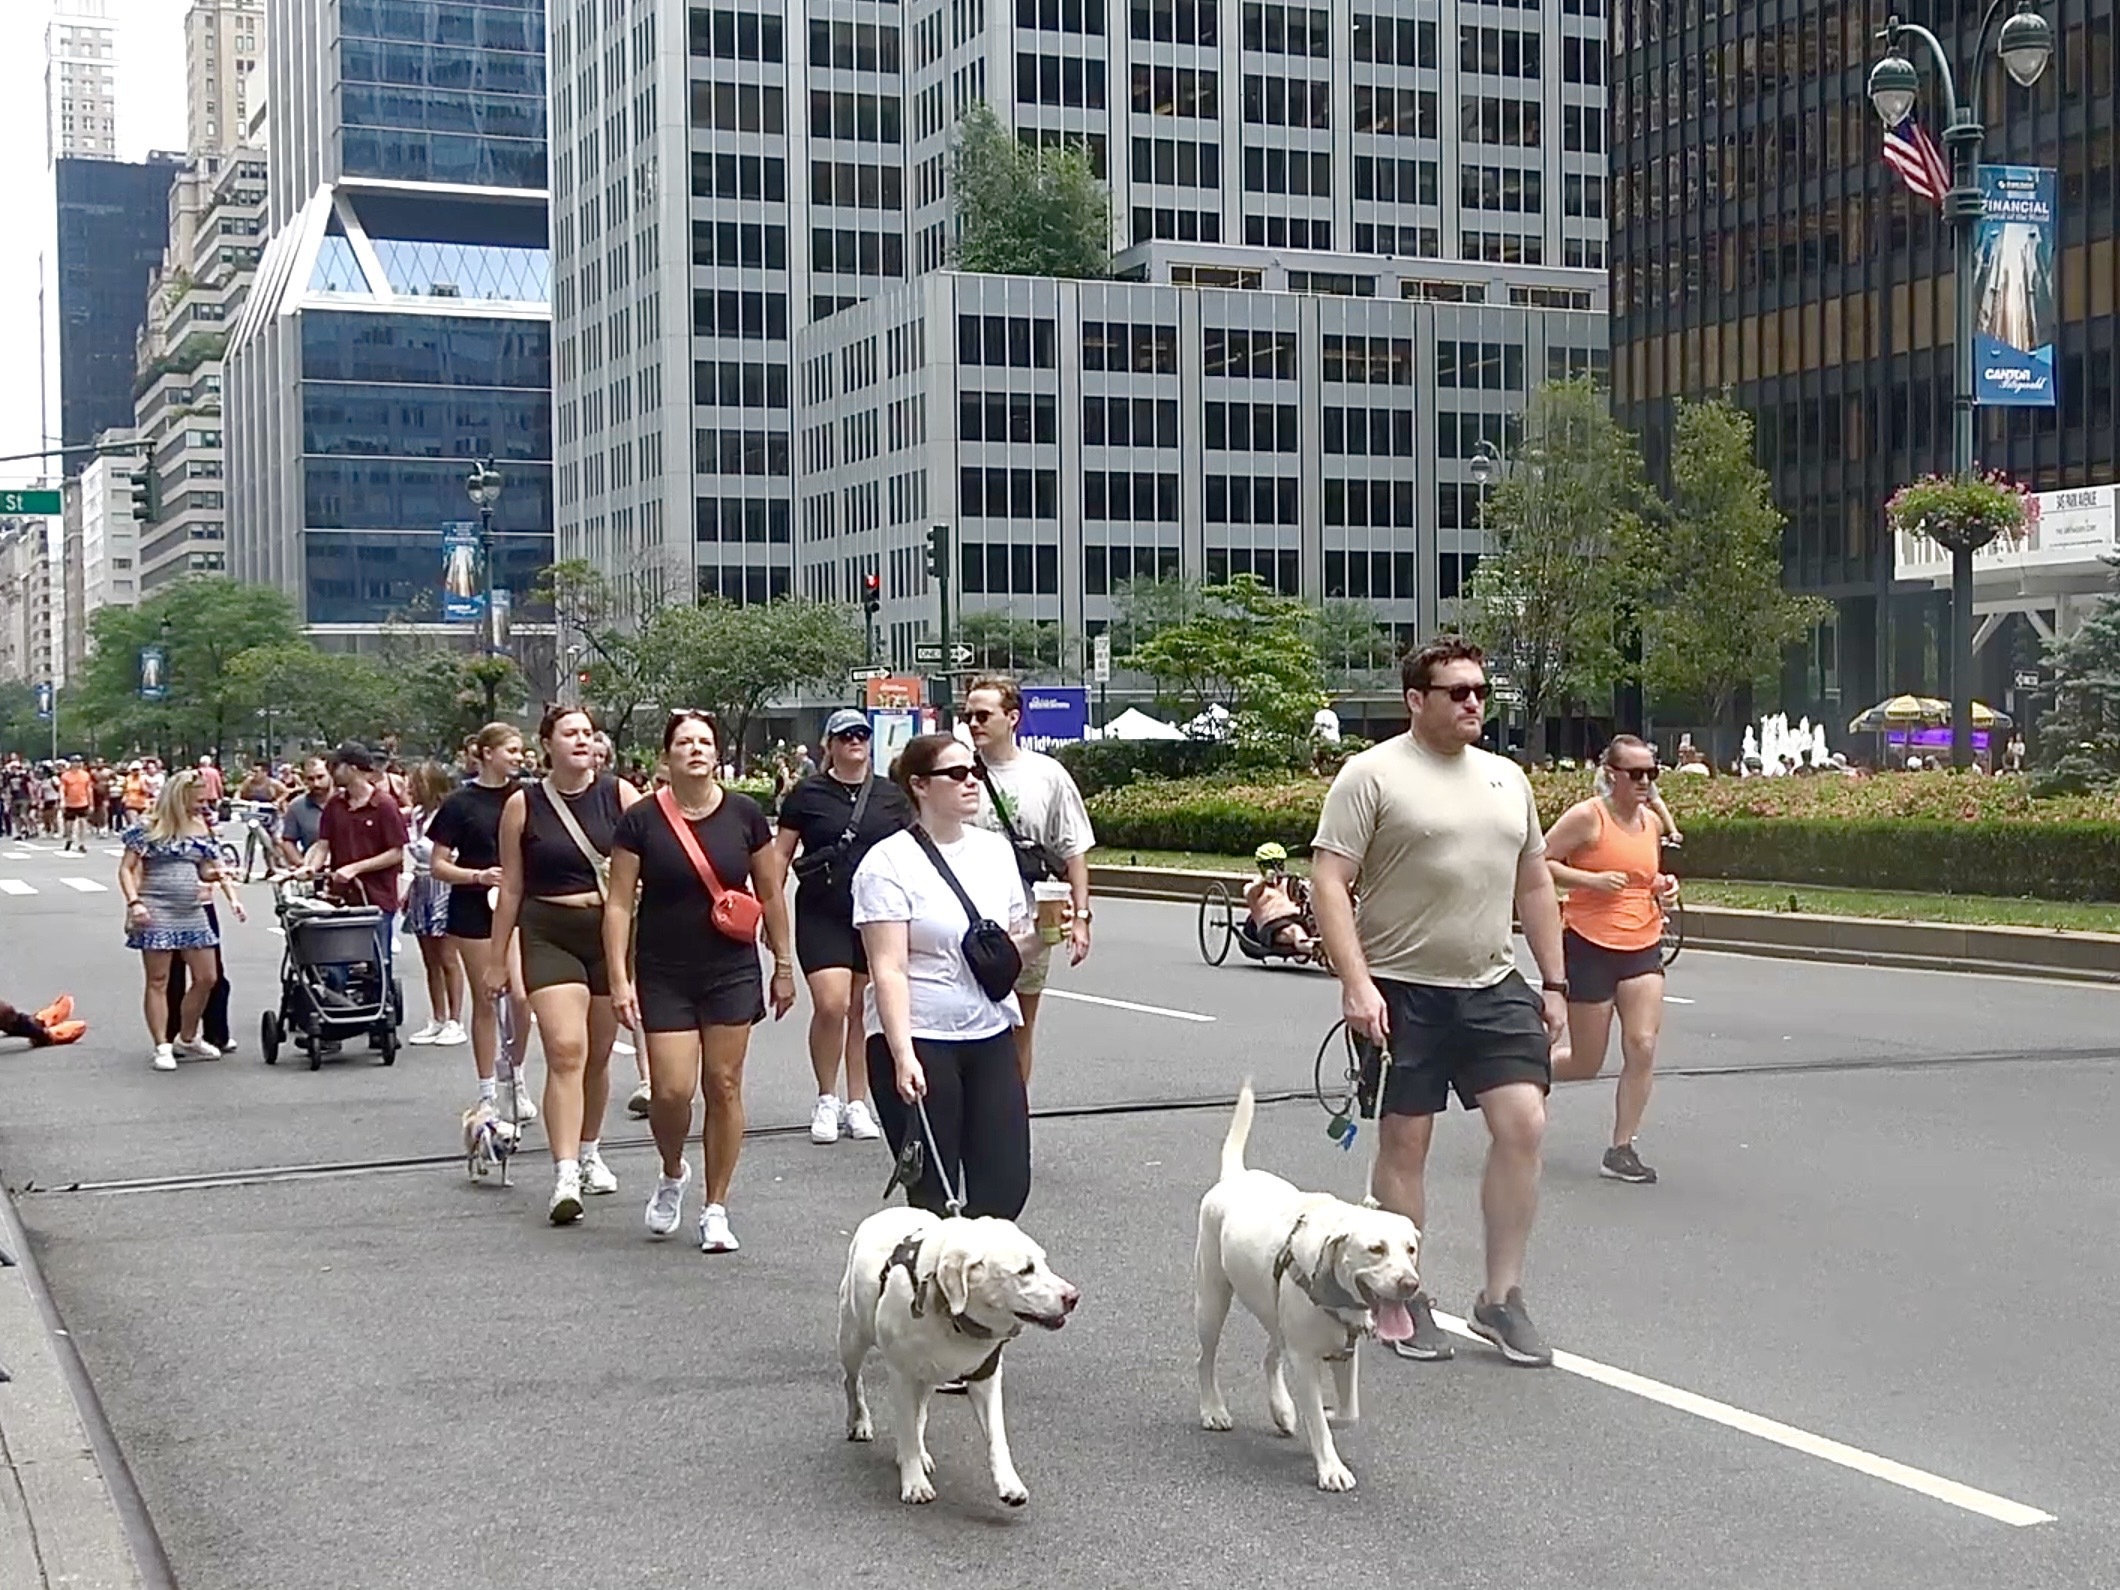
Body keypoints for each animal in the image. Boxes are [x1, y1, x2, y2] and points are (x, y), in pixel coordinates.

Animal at [835, 1212, 1076, 1509]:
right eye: (1025, 1270)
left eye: (1043, 1262)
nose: (1073, 1297)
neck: (949, 1311)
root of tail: (888, 1212)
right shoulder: (902, 1374)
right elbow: (906, 1428)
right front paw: (914, 1483)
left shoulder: (986, 1376)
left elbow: (997, 1437)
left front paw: (1010, 1484)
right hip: (852, 1337)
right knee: (852, 1380)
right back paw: (859, 1422)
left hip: (928, 1375)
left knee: (920, 1412)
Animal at [1195, 1085, 1424, 1492]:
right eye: (1376, 1249)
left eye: (1410, 1249)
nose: (1409, 1284)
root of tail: (1235, 1176)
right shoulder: (1305, 1358)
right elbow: (1317, 1418)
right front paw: (1330, 1466)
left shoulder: (1345, 1352)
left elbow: (1348, 1413)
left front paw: (1326, 1414)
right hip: (1212, 1300)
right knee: (1205, 1359)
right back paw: (1213, 1409)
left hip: (1275, 1311)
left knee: (1270, 1357)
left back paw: (1283, 1410)